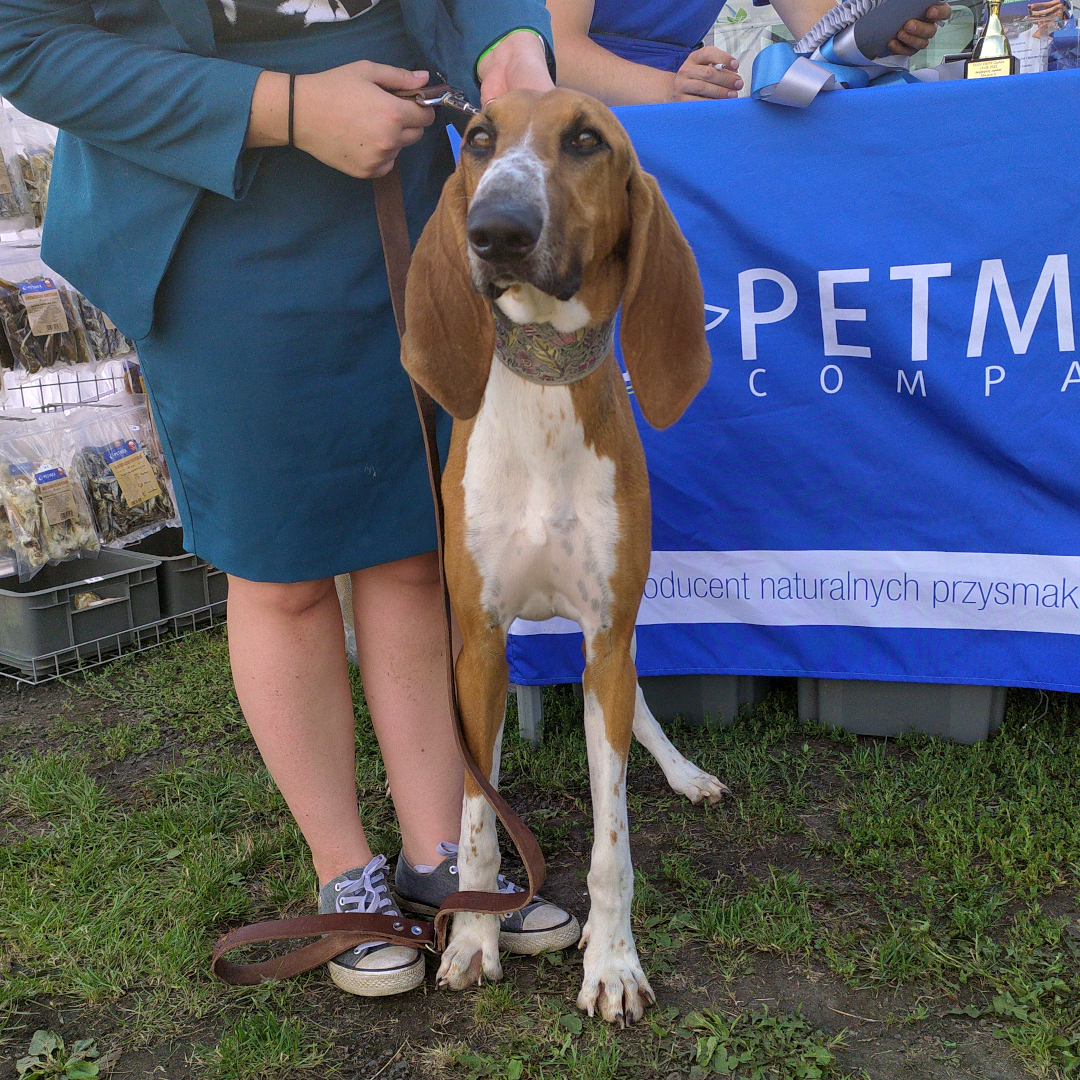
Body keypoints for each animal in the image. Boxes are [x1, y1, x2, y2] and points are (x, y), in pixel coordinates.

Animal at [402, 88, 722, 1026]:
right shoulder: (477, 642)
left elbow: (614, 844)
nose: (496, 230)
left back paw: (684, 773)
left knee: (639, 708)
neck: (545, 400)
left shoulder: (607, 638)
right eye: (477, 137)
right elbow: (477, 821)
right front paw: (473, 938)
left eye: (586, 140)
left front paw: (612, 963)